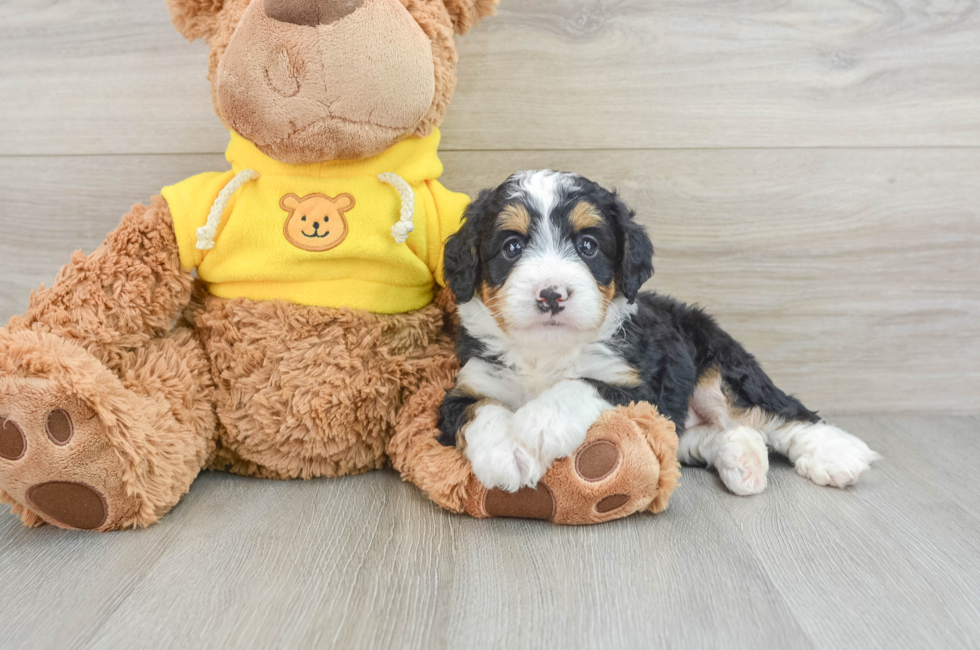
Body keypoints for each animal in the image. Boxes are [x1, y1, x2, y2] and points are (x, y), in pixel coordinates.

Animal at [438, 170, 880, 494]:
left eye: (587, 245)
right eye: (512, 247)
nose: (551, 295)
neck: (546, 352)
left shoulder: (640, 387)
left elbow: (579, 385)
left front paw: (537, 425)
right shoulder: (469, 384)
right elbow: (481, 410)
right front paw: (504, 454)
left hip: (720, 368)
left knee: (778, 411)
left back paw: (836, 454)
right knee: (715, 432)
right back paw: (743, 460)